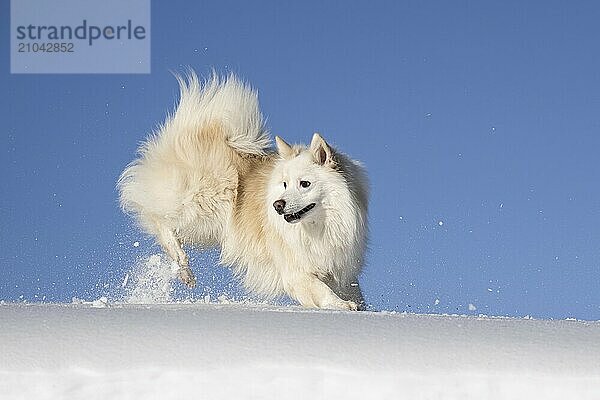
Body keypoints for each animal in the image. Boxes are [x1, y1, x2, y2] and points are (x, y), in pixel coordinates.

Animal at [118, 71, 368, 310]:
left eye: (304, 184)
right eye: (285, 184)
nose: (277, 205)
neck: (321, 226)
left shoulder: (339, 269)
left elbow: (353, 291)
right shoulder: (296, 271)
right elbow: (322, 290)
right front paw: (342, 306)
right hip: (200, 208)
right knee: (159, 220)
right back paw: (182, 265)